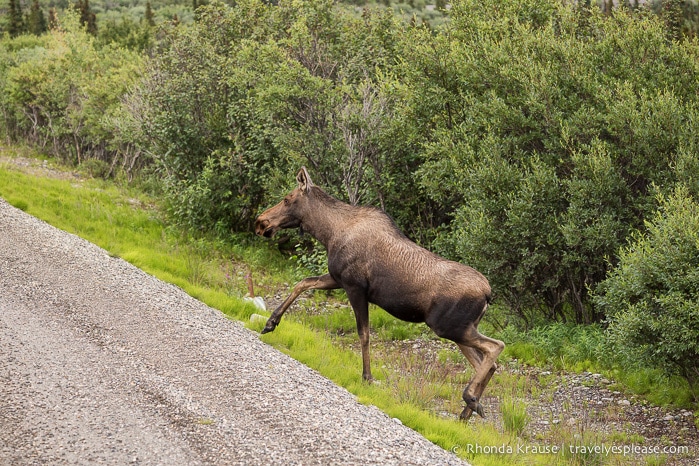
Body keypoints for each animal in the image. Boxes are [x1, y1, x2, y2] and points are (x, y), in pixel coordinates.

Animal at [254, 167, 506, 418]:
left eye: (287, 199)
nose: (260, 222)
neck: (328, 233)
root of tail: (488, 295)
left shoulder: (355, 287)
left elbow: (364, 334)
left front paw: (367, 376)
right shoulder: (337, 279)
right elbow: (303, 283)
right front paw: (270, 323)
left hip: (448, 327)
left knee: (496, 347)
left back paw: (470, 397)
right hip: (461, 329)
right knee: (486, 362)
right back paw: (467, 412)